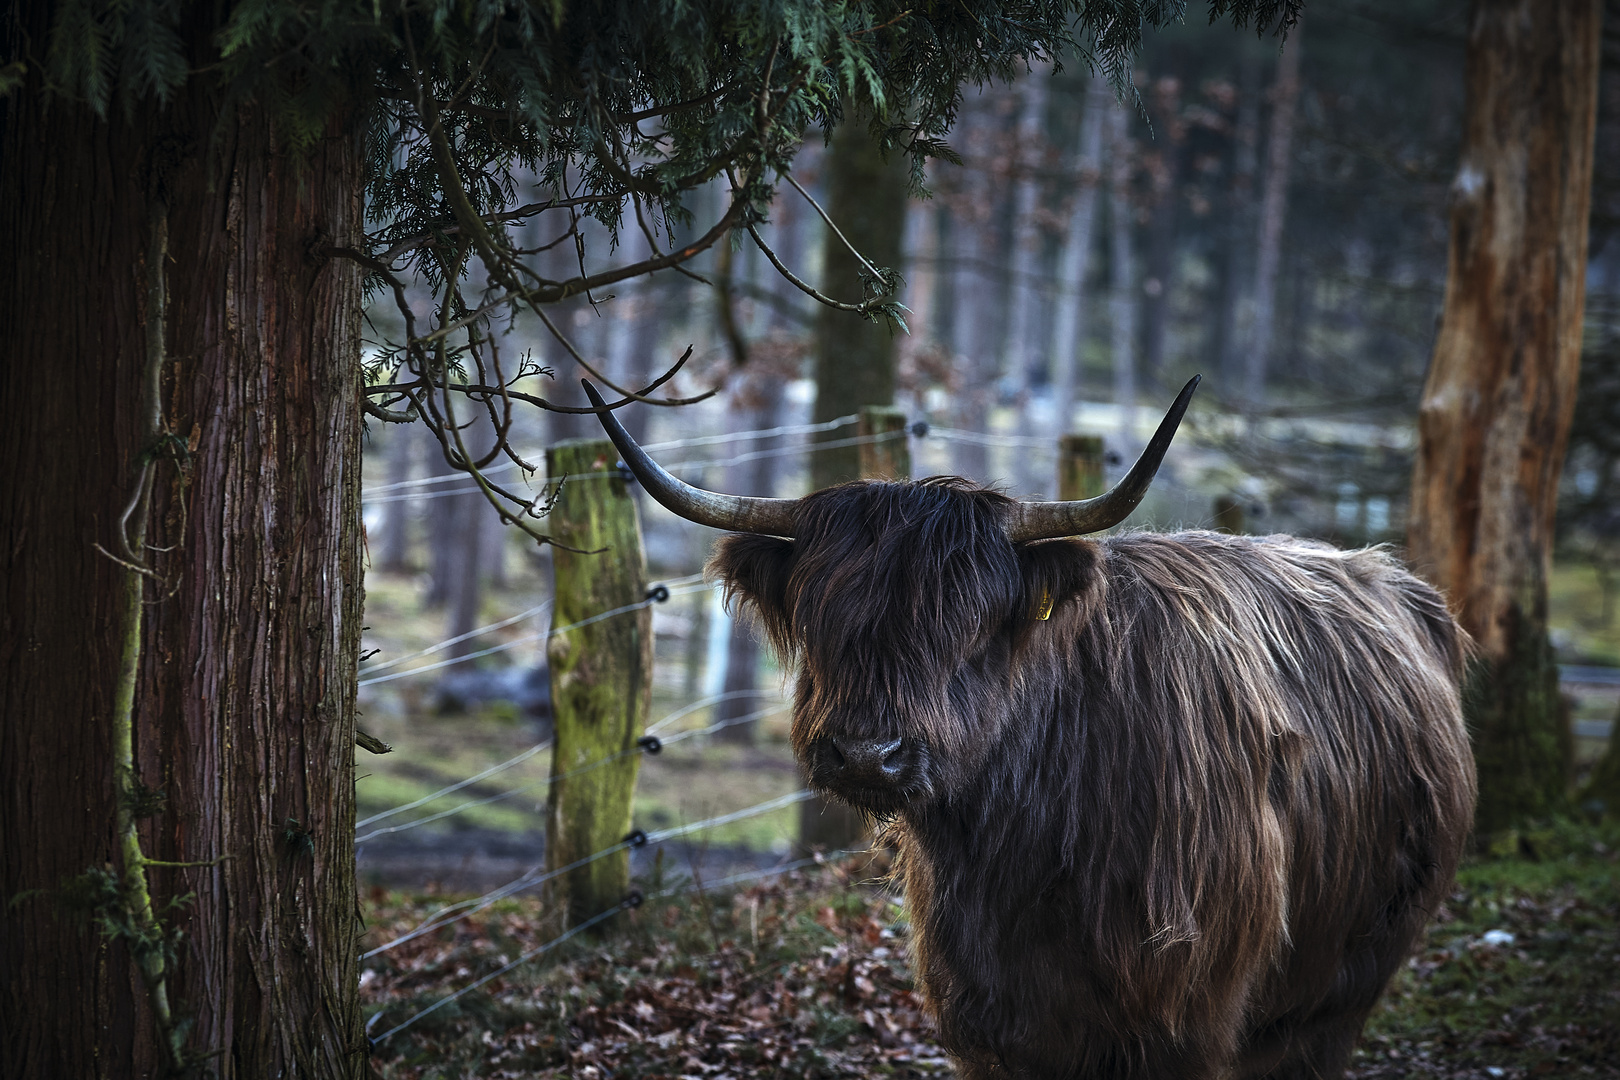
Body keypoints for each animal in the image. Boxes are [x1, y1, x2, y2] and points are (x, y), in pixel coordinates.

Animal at [589, 380, 1477, 1080]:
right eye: (822, 618)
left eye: (971, 626)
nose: (866, 754)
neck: (1022, 840)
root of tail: (1399, 583)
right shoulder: (986, 1017)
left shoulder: (1185, 1018)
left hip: (1349, 977)